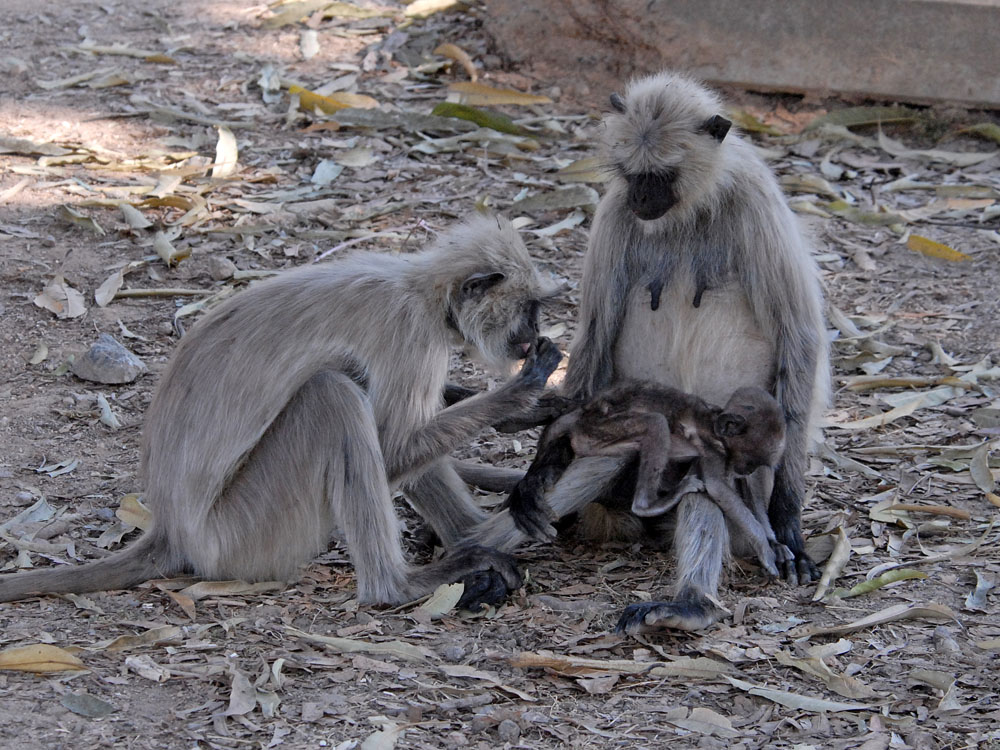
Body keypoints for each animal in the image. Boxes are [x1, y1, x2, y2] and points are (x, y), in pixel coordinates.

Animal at [0, 216, 564, 612]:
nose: (532, 334)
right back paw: (401, 585)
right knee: (335, 395)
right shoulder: (411, 334)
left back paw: (477, 531)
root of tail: (174, 529)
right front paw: (523, 394)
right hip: (243, 534)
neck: (420, 289)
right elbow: (395, 446)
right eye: (529, 308)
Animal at [472, 70, 832, 636]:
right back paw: (477, 559)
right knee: (606, 451)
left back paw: (690, 604)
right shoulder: (616, 210)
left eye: (662, 176)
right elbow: (594, 341)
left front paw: (788, 513)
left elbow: (800, 338)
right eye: (631, 173)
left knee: (706, 487)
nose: (642, 196)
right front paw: (536, 473)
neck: (688, 213)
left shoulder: (755, 198)